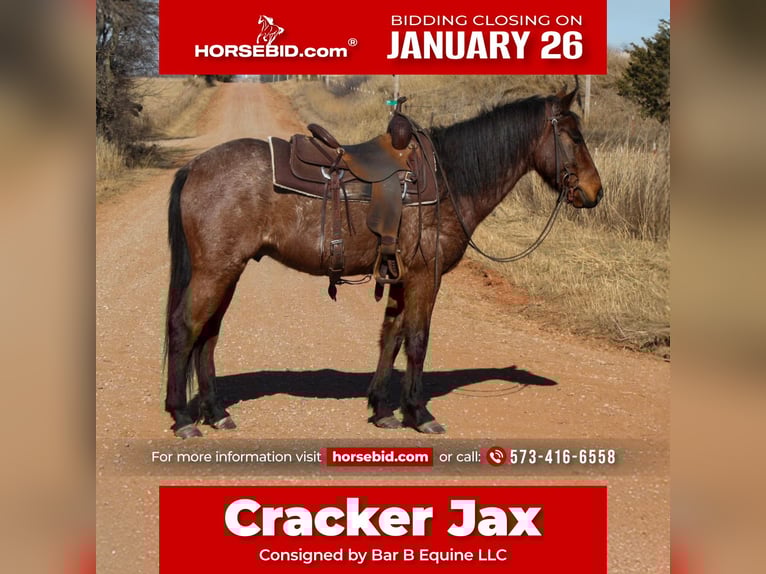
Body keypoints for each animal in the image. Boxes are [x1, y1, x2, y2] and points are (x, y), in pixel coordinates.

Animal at [163, 87, 603, 438]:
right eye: (575, 136)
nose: (595, 192)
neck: (447, 180)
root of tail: (195, 166)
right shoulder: (426, 277)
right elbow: (418, 340)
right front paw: (419, 413)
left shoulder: (401, 278)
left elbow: (391, 337)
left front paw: (382, 408)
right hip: (216, 271)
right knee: (185, 330)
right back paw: (182, 416)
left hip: (228, 271)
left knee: (208, 337)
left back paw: (215, 413)